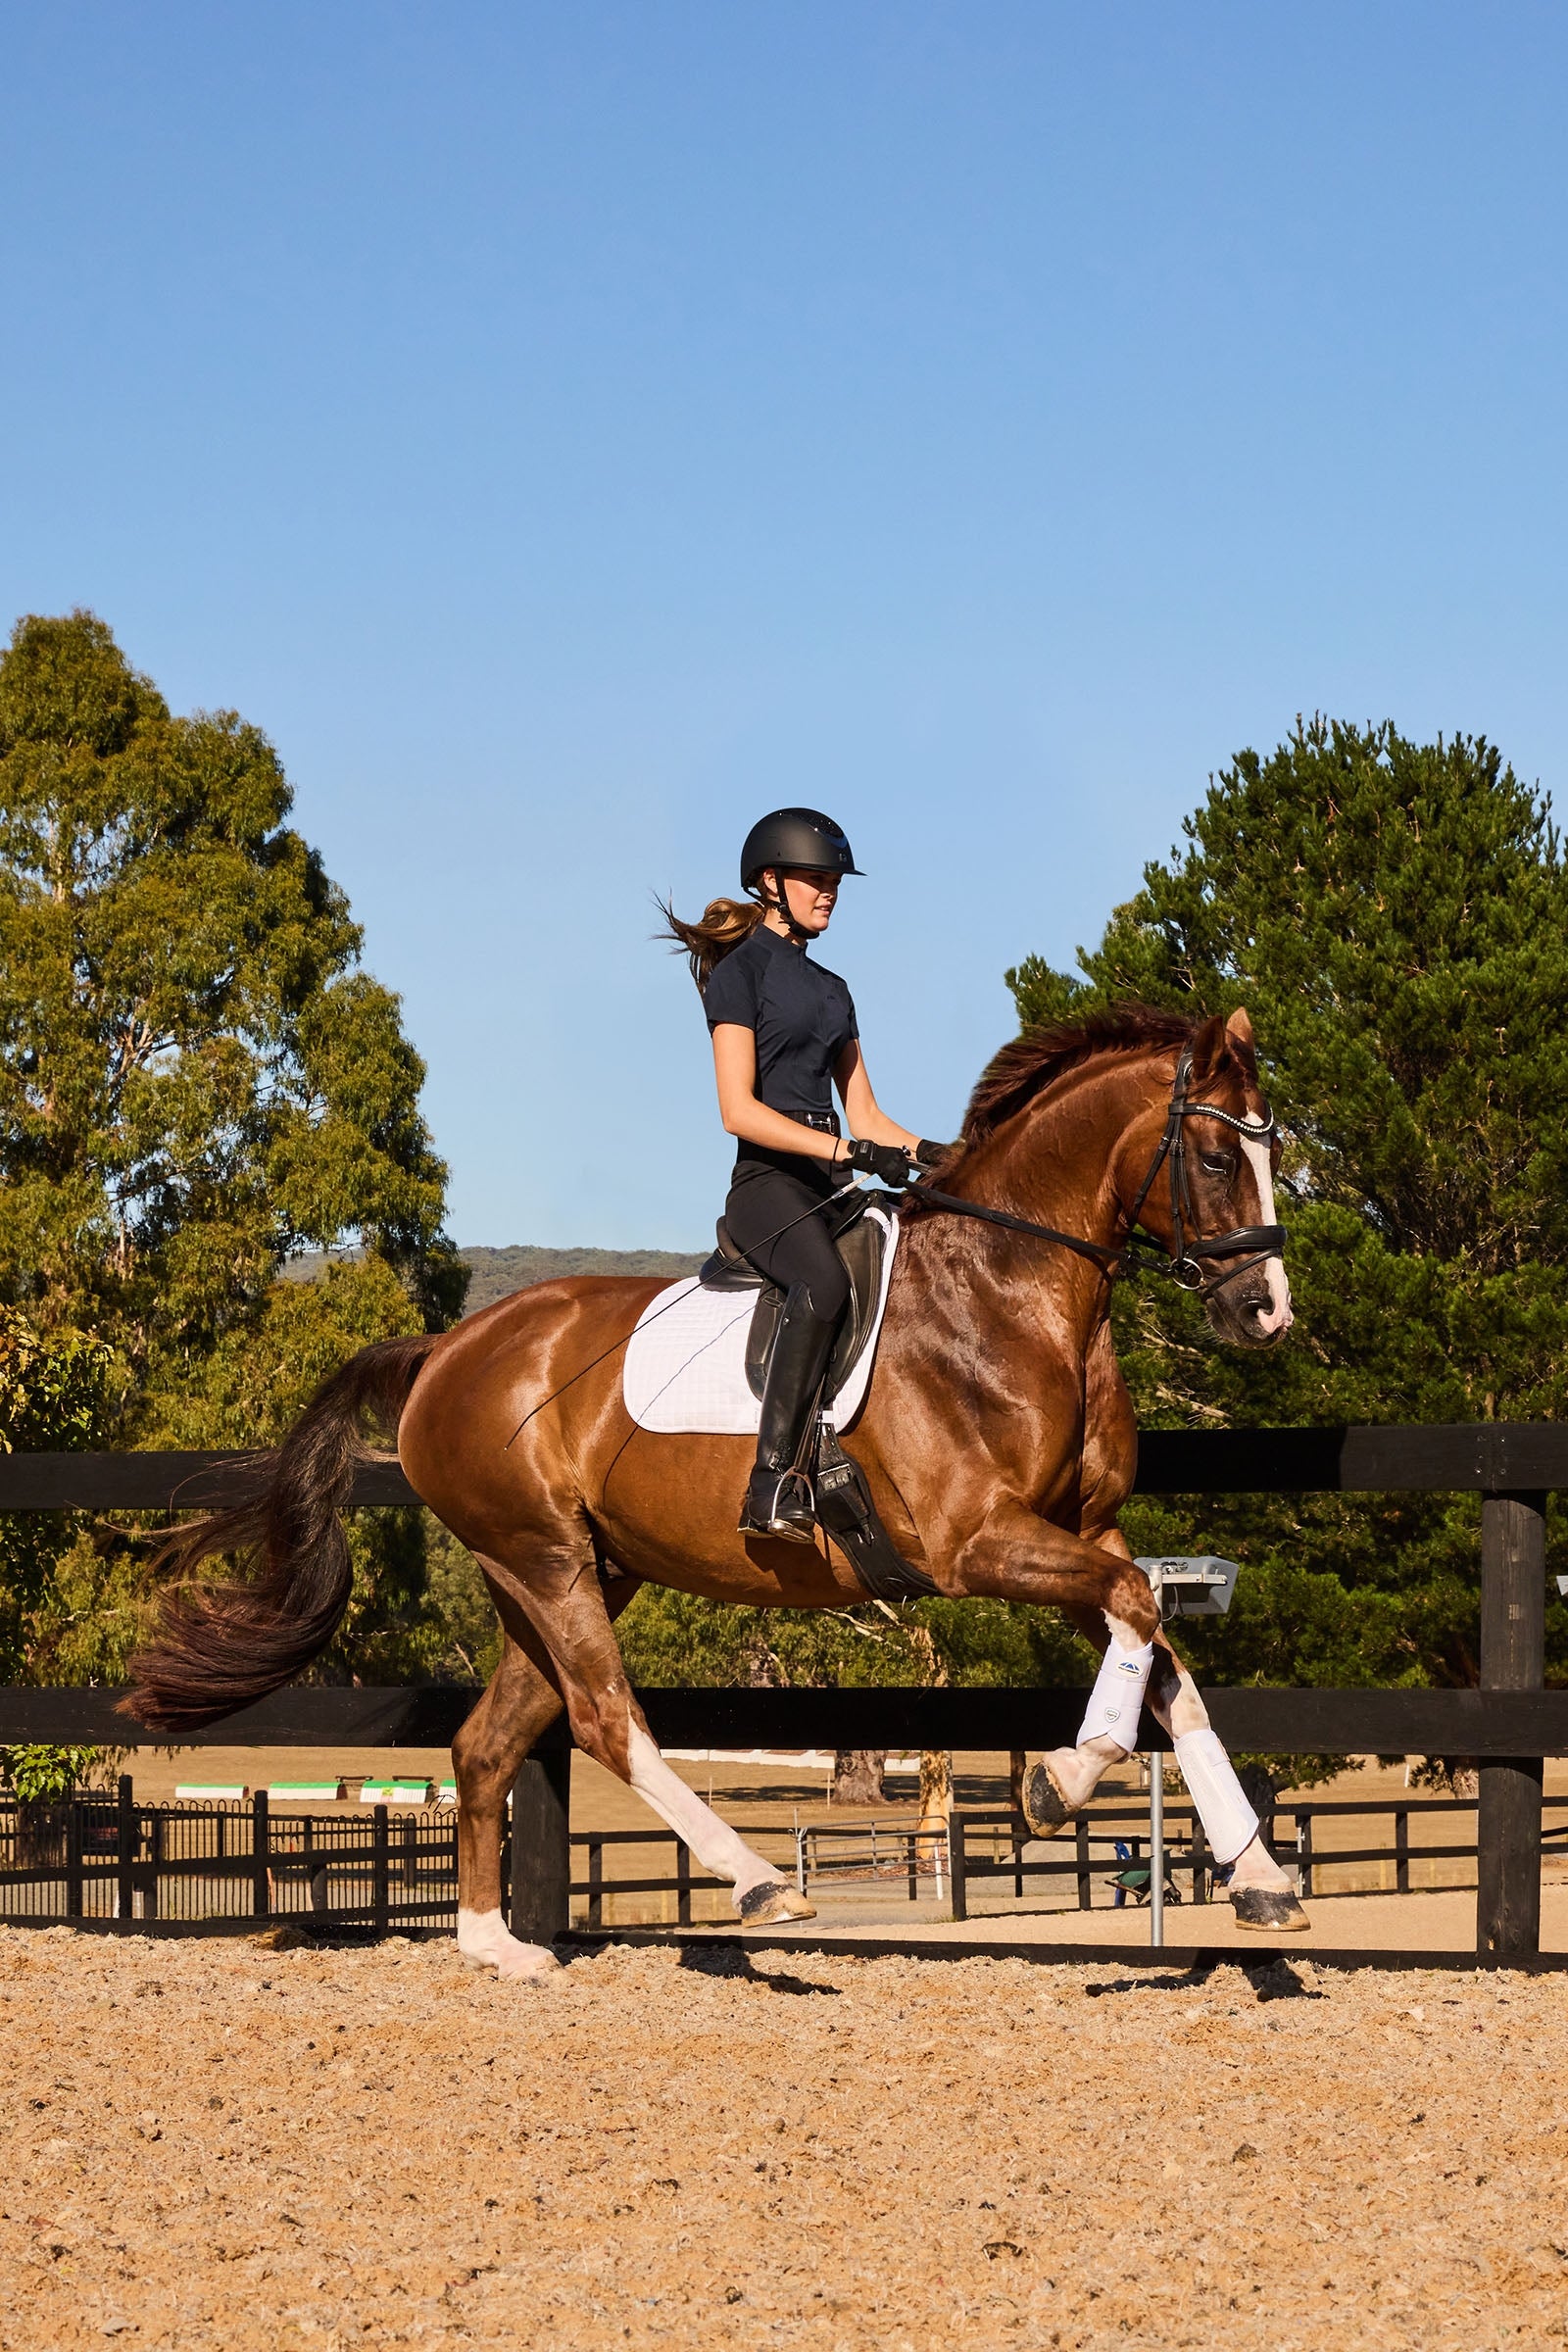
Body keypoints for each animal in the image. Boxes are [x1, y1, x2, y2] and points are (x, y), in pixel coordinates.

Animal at [126, 1002, 1305, 1978]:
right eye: (1213, 1156)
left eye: (1273, 1152)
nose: (1266, 1311)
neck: (1006, 1293)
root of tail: (446, 1350)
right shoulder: (976, 1543)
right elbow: (1142, 1620)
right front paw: (1056, 1785)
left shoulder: (1081, 1534)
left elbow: (1165, 1666)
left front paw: (1258, 1879)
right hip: (548, 1560)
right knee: (607, 1722)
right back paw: (760, 1884)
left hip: (564, 1568)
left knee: (487, 1743)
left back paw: (497, 1947)